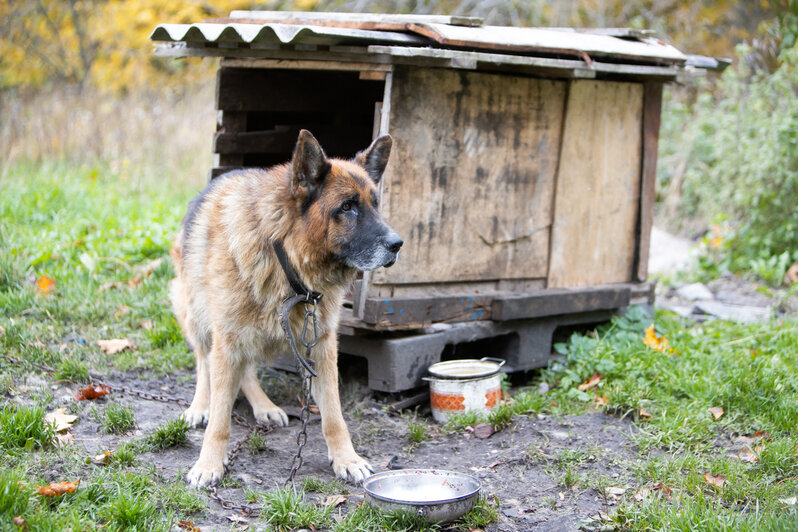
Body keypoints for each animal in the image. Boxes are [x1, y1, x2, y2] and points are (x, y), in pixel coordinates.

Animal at [171, 131, 404, 488]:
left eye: (375, 205)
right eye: (347, 207)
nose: (397, 244)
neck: (285, 256)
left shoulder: (322, 346)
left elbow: (334, 414)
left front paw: (346, 459)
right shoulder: (226, 339)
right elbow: (220, 417)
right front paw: (209, 462)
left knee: (245, 370)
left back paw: (263, 405)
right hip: (197, 316)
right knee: (204, 362)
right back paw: (200, 405)